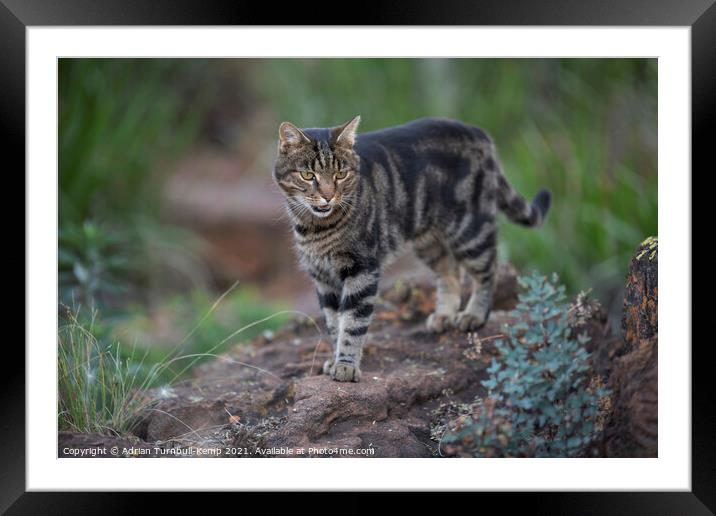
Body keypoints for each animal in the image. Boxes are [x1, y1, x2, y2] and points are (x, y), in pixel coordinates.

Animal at [272, 118, 548, 382]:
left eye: (340, 174)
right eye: (308, 175)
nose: (328, 196)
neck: (316, 228)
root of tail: (477, 132)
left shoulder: (362, 270)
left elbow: (352, 325)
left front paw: (346, 366)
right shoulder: (322, 277)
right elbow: (333, 323)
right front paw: (334, 358)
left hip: (470, 230)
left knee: (488, 269)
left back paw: (474, 315)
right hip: (430, 243)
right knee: (450, 274)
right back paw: (444, 315)